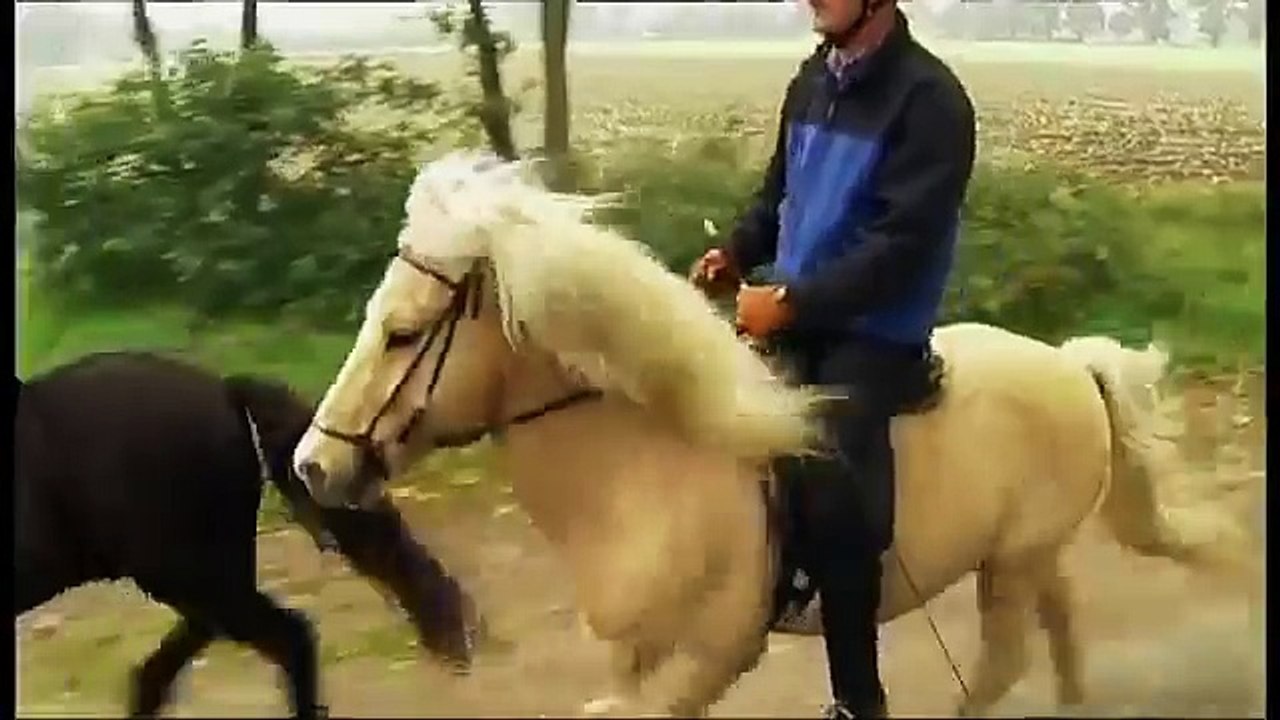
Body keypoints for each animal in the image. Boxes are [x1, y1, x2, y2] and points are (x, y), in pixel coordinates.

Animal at [291, 151, 1255, 717]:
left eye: (403, 333)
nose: (313, 464)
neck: (648, 470)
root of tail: (1072, 367)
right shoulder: (629, 657)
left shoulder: (715, 655)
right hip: (1025, 556)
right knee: (1060, 625)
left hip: (1012, 564)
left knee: (1003, 661)